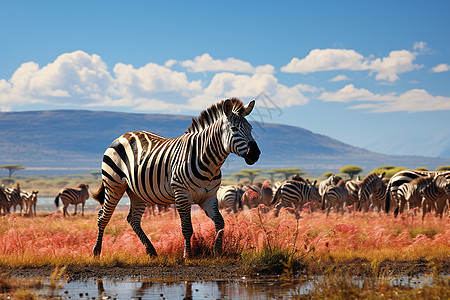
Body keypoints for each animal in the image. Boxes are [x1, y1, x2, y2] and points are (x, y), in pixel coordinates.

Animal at [91, 98, 260, 258]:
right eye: (234, 129)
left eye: (251, 129)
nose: (255, 154)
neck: (208, 162)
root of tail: (124, 135)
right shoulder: (182, 194)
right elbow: (187, 228)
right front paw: (188, 255)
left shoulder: (209, 196)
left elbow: (220, 223)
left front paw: (217, 252)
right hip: (114, 185)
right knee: (103, 217)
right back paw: (97, 252)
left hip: (136, 192)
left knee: (133, 219)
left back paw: (151, 251)